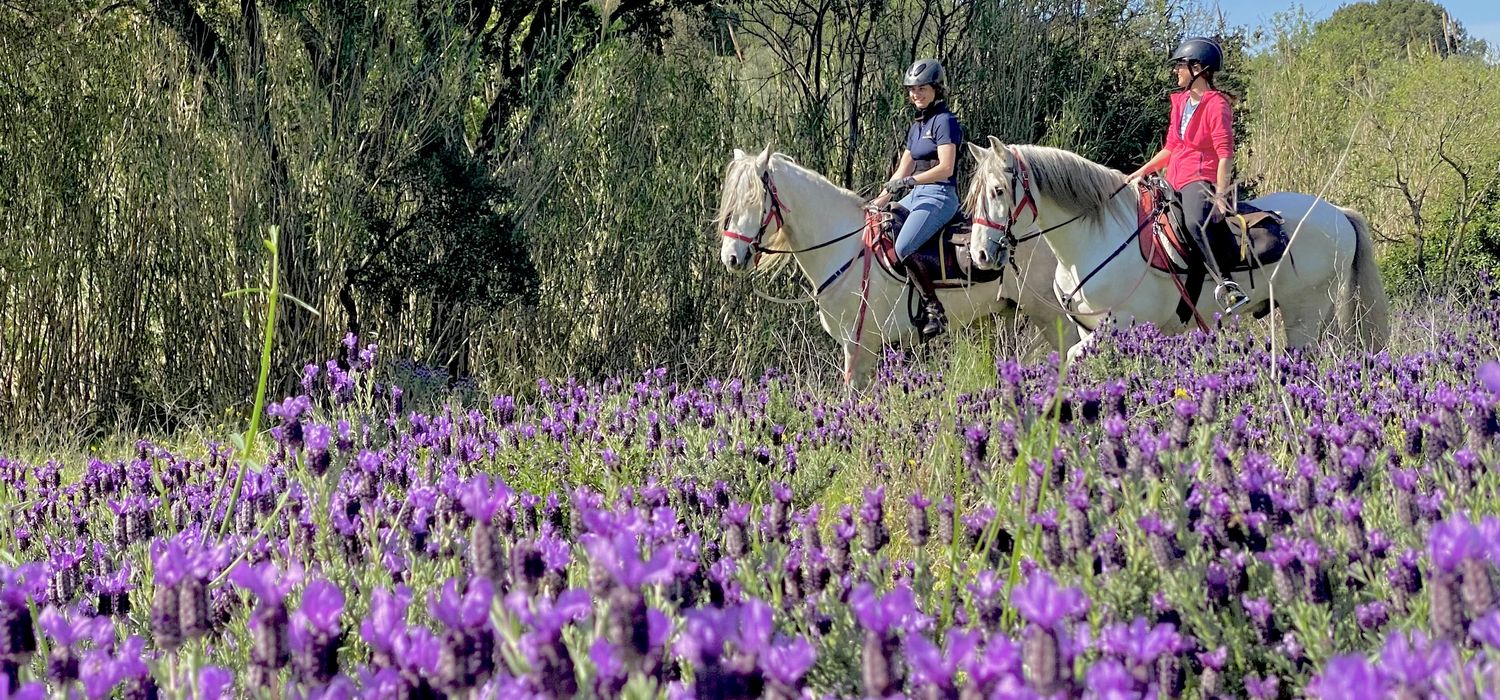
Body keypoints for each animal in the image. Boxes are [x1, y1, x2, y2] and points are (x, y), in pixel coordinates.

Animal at [966, 139, 1386, 364]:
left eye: (999, 191)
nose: (981, 256)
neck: (1091, 243)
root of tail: (1339, 214)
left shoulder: (1118, 326)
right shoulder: (1087, 329)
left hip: (1305, 315)